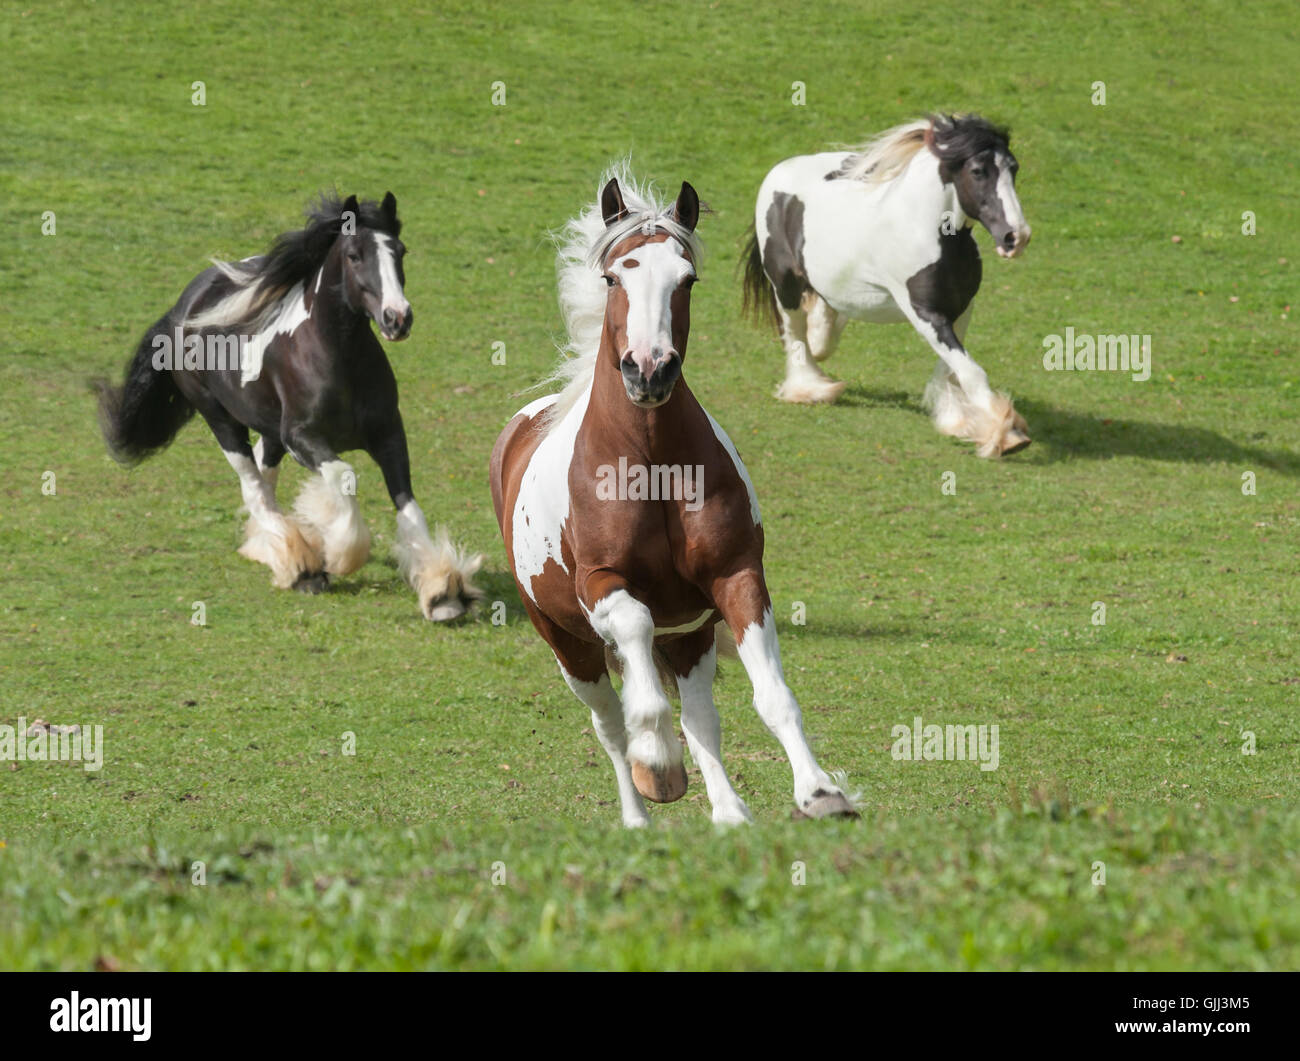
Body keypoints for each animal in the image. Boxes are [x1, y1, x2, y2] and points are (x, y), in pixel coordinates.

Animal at [94, 195, 483, 616]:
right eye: (354, 255)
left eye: (400, 250)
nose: (397, 318)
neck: (337, 358)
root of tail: (183, 305)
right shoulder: (302, 437)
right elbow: (343, 476)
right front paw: (340, 554)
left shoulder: (389, 434)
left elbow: (409, 507)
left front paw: (443, 591)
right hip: (221, 421)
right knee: (255, 489)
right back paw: (301, 568)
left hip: (268, 431)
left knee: (264, 477)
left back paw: (274, 549)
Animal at [491, 167, 857, 826]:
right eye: (614, 276)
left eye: (686, 280)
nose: (649, 371)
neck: (651, 464)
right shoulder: (602, 585)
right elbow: (637, 651)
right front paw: (658, 762)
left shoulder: (736, 577)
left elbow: (772, 697)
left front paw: (821, 793)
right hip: (566, 644)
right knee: (610, 725)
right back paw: (639, 810)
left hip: (688, 639)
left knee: (701, 719)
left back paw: (730, 814)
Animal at [743, 113, 1034, 457]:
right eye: (978, 171)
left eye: (1013, 168)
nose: (1016, 237)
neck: (928, 232)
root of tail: (780, 170)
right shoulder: (924, 312)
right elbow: (970, 370)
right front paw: (1006, 435)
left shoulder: (962, 308)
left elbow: (953, 368)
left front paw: (958, 420)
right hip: (784, 284)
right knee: (795, 336)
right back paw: (810, 389)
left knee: (823, 322)